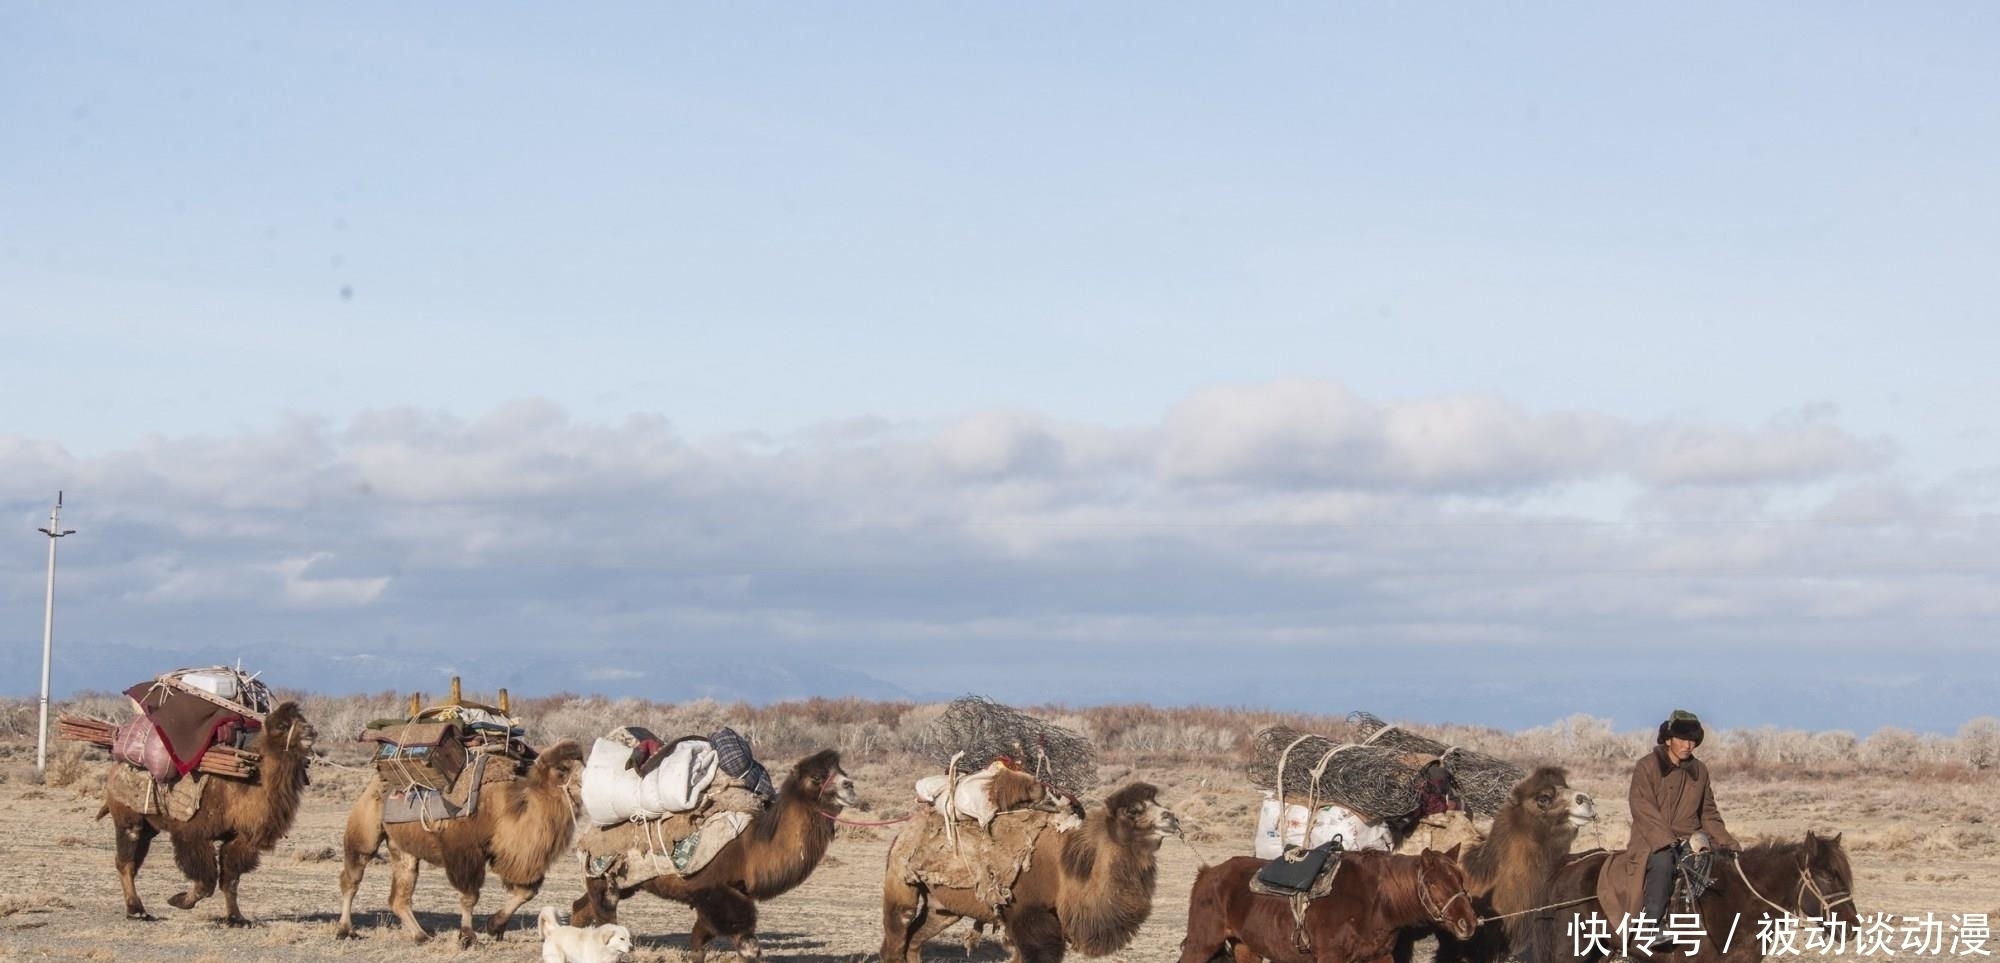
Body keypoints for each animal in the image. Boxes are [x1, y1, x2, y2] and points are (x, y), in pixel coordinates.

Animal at [100, 699, 320, 927]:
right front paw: (178, 900)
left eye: (302, 719)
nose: (310, 730)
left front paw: (237, 918)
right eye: (283, 726)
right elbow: (206, 882)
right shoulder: (194, 834)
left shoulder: (240, 838)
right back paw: (137, 912)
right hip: (129, 820)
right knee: (125, 863)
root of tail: (114, 768)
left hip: (148, 828)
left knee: (133, 862)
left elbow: (230, 880)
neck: (241, 791)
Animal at [576, 751, 864, 963]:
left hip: (626, 882)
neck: (751, 848)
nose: (850, 787)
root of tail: (588, 834)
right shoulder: (713, 891)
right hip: (606, 877)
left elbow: (699, 945)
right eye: (817, 776)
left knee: (580, 909)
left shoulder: (723, 898)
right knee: (605, 914)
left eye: (842, 772)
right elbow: (747, 945)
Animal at [884, 783, 1176, 963]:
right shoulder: (1028, 917)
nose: (1172, 818)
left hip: (943, 908)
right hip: (900, 882)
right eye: (1134, 810)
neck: (1067, 872)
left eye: (1157, 802)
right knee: (897, 935)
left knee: (914, 941)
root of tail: (904, 831)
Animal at [1168, 847, 1488, 963]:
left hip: (1246, 948)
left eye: (1461, 879)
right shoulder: (1331, 958)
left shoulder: (1379, 957)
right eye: (1434, 884)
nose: (1469, 922)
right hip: (1202, 944)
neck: (1376, 902)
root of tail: (1208, 873)